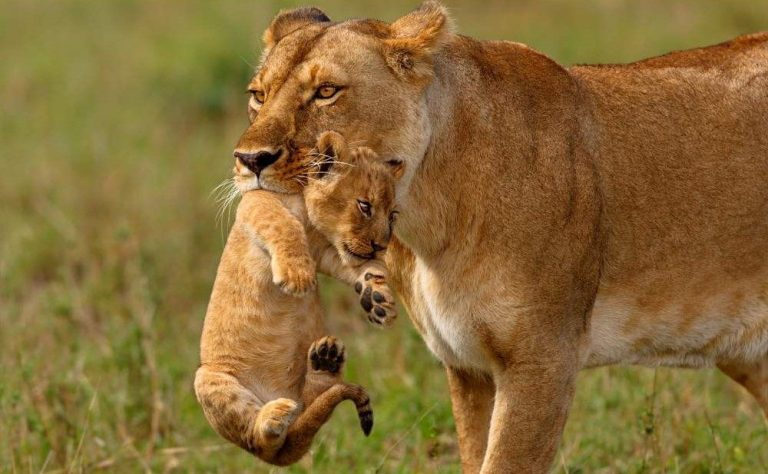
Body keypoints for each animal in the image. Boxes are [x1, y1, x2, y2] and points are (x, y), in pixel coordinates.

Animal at [194, 132, 401, 466]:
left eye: (393, 215)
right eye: (364, 206)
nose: (380, 246)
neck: (308, 217)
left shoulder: (326, 252)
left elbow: (361, 268)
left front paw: (378, 300)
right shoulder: (254, 202)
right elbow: (280, 222)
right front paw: (297, 277)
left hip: (303, 399)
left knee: (310, 405)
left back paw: (325, 361)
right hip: (208, 379)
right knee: (260, 441)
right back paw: (273, 418)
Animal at [231, 2, 768, 472]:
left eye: (327, 91)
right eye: (258, 95)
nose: (250, 160)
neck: (429, 216)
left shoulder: (543, 358)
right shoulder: (467, 367)